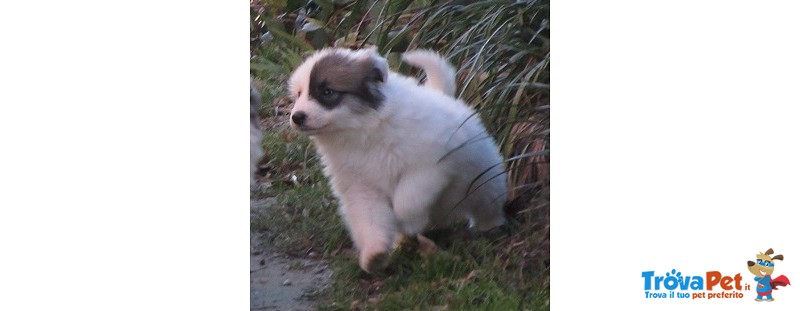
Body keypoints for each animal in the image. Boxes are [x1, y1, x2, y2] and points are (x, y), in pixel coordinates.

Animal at [288, 47, 506, 274]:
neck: (364, 130)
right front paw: (374, 254)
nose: (297, 117)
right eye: (298, 94)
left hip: (484, 181)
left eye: (327, 92)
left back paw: (490, 226)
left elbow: (407, 200)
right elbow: (370, 219)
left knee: (487, 203)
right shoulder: (361, 188)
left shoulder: (429, 166)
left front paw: (409, 222)